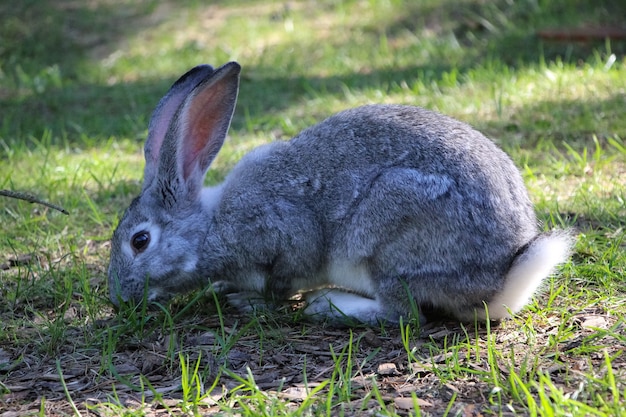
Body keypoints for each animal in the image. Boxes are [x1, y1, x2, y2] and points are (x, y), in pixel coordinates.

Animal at [106, 60, 572, 324]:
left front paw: (250, 302)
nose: (117, 300)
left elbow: (281, 282)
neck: (209, 226)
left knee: (403, 315)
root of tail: (498, 281)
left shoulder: (284, 235)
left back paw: (327, 306)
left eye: (140, 241)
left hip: (389, 238)